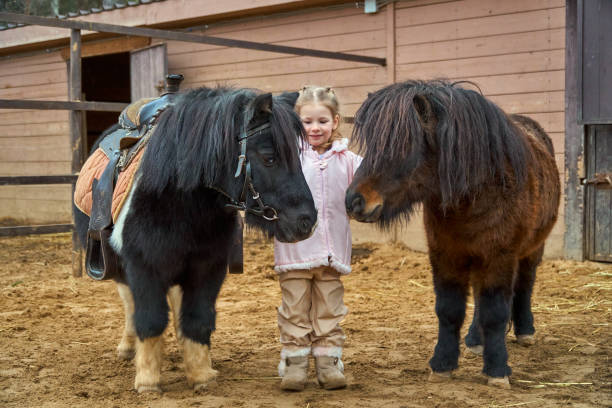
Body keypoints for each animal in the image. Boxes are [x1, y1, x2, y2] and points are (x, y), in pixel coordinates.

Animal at [74, 87, 318, 394]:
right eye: (269, 157)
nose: (307, 221)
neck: (179, 202)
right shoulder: (144, 267)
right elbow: (150, 319)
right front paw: (148, 380)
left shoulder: (207, 268)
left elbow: (197, 318)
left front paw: (201, 374)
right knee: (129, 303)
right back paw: (129, 348)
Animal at [344, 80, 560, 388]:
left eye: (404, 146)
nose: (354, 201)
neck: (477, 192)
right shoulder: (445, 255)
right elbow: (449, 309)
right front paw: (443, 363)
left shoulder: (499, 257)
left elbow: (495, 313)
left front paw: (497, 370)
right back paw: (475, 340)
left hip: (530, 250)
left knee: (524, 284)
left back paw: (525, 331)